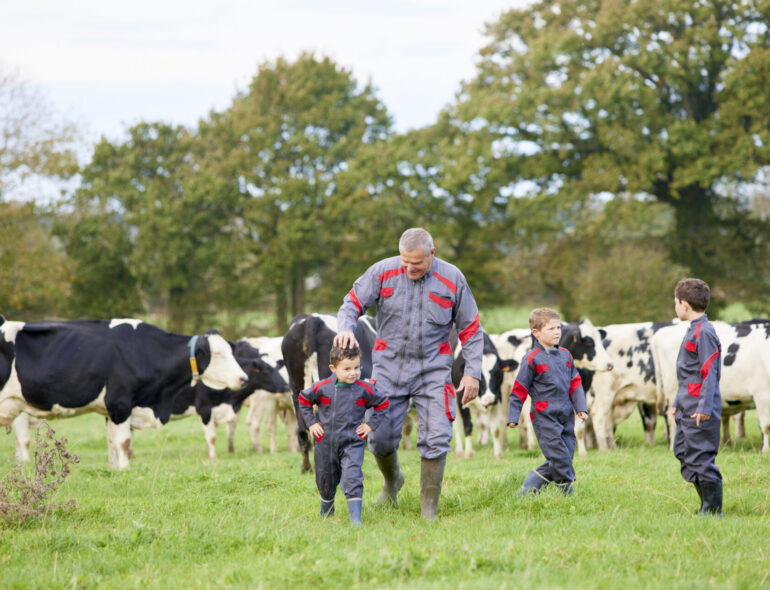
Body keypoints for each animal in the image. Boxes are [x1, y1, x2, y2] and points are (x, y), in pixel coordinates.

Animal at [0, 316, 246, 470]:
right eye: (218, 353)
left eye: (231, 351)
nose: (243, 378)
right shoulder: (120, 403)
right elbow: (124, 442)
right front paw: (125, 468)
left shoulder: (110, 410)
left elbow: (112, 442)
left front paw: (115, 468)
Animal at [652, 322, 768, 456]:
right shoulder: (761, 393)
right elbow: (765, 426)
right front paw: (765, 450)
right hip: (672, 391)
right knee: (671, 419)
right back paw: (672, 447)